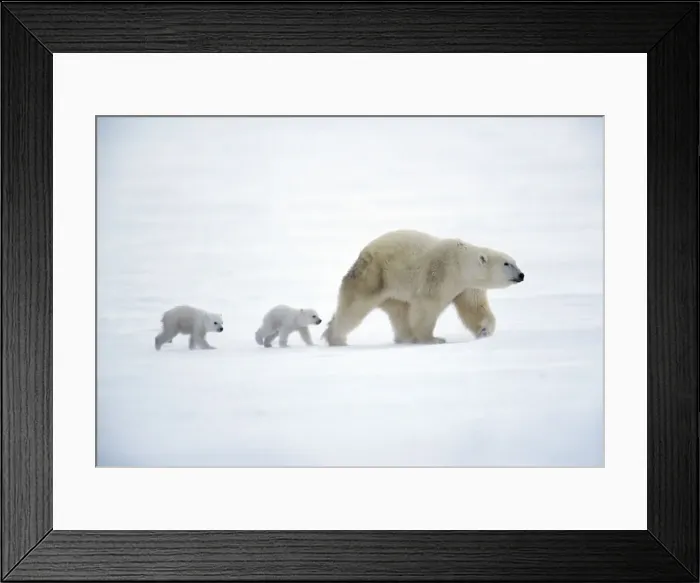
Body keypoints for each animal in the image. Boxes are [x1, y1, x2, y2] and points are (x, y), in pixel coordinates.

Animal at [322, 229, 524, 346]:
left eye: (515, 262)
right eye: (507, 263)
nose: (521, 275)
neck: (461, 263)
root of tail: (362, 253)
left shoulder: (467, 286)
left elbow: (474, 307)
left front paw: (484, 331)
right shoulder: (441, 272)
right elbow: (427, 305)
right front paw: (433, 339)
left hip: (392, 292)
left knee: (400, 311)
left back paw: (406, 337)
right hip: (375, 276)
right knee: (355, 307)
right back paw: (336, 338)